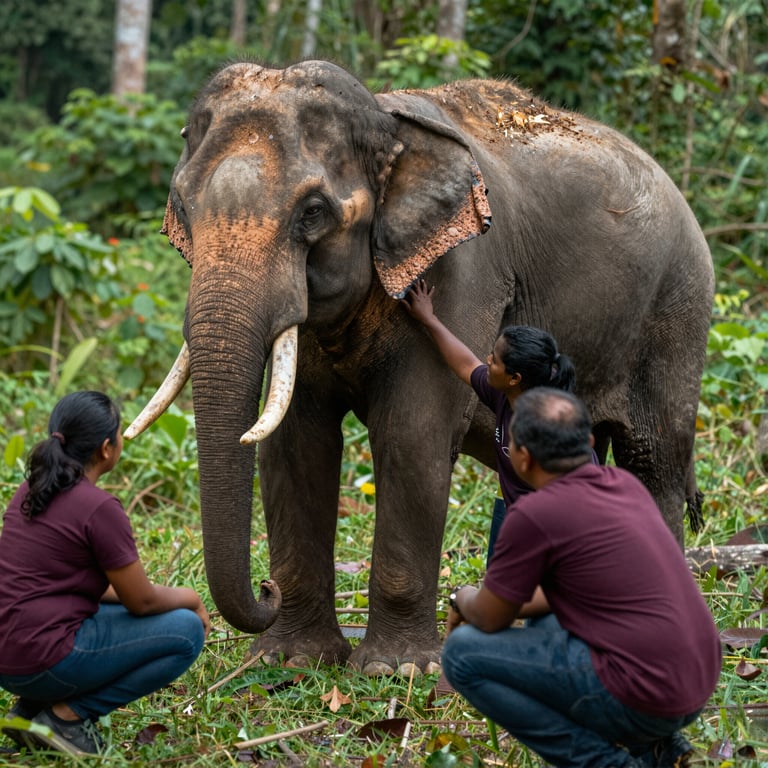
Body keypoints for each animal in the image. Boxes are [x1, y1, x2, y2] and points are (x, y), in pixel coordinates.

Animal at [126, 60, 714, 674]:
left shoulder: (465, 269)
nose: (267, 589)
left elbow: (411, 434)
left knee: (654, 461)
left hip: (676, 312)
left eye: (312, 212)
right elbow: (294, 443)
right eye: (183, 206)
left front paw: (398, 668)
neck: (387, 123)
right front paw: (290, 661)